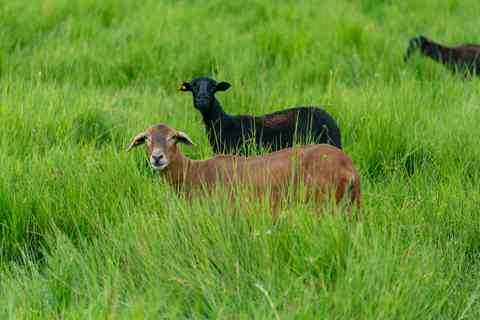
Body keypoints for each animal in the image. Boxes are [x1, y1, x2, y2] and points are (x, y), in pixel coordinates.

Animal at [127, 124, 360, 212]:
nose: (157, 158)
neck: (193, 173)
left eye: (172, 138)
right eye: (147, 139)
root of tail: (348, 166)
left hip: (324, 202)